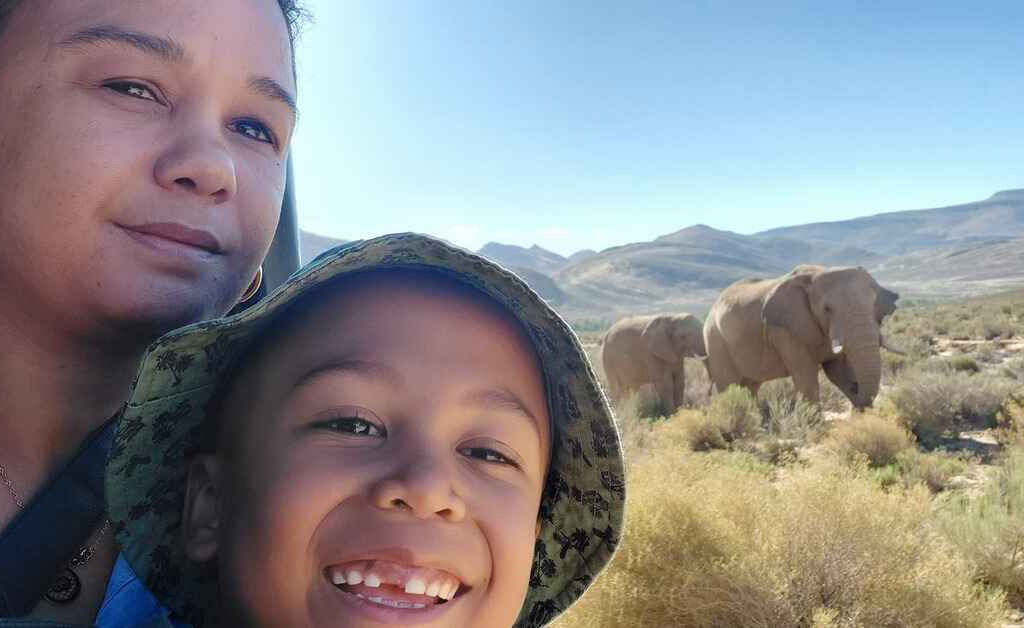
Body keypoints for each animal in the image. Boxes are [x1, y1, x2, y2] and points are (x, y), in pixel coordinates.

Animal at [700, 262, 901, 405]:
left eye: (874, 304)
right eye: (827, 309)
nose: (856, 388)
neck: (817, 272)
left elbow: (838, 371)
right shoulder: (784, 330)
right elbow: (806, 377)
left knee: (750, 386)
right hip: (715, 341)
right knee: (729, 386)